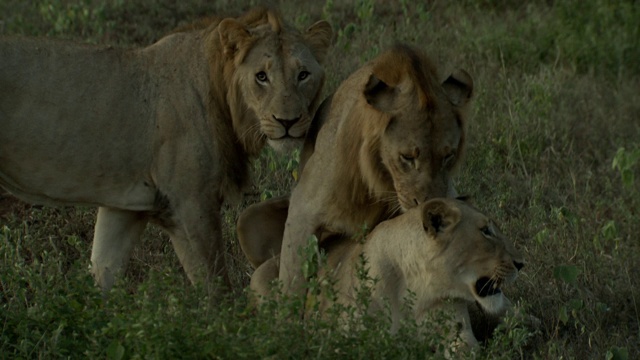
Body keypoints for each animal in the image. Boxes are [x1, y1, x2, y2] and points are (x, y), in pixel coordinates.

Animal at [0, 7, 332, 292]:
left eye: (303, 75)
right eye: (261, 76)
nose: (287, 121)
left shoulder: (124, 208)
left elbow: (102, 273)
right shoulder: (189, 205)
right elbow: (217, 290)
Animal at [238, 44, 472, 296]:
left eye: (448, 156)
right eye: (407, 157)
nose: (430, 206)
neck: (380, 178)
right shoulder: (302, 209)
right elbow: (293, 279)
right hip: (246, 219)